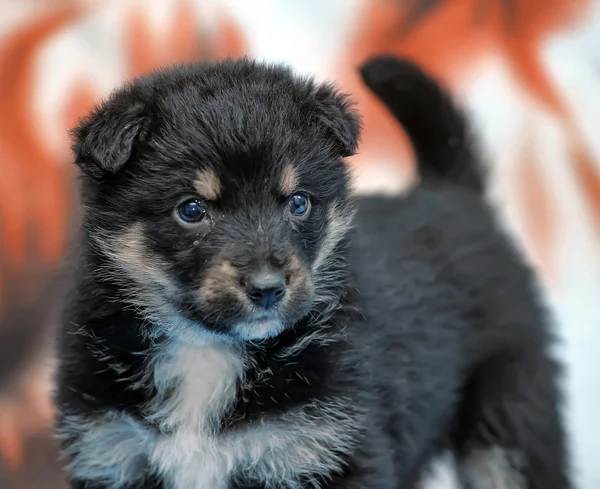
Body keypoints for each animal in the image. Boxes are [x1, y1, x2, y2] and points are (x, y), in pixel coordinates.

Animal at [3, 0, 600, 488]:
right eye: (191, 210)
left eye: (298, 203)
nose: (268, 289)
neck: (206, 354)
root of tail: (452, 192)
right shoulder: (112, 453)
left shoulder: (329, 451)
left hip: (510, 419)